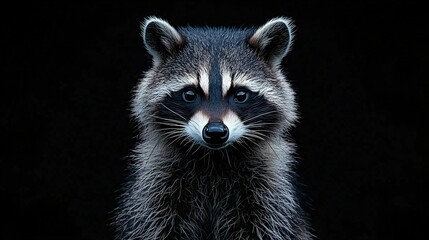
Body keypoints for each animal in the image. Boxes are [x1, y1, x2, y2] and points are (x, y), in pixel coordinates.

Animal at [114, 16, 310, 240]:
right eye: (190, 94)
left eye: (240, 95)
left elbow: (269, 225)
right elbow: (152, 224)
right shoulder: (154, 186)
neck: (214, 159)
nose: (215, 132)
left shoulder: (270, 191)